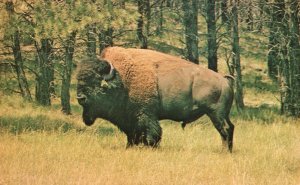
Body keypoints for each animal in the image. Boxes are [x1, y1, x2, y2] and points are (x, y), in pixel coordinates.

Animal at [76, 47, 236, 152]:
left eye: (96, 82)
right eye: (79, 80)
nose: (80, 97)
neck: (123, 79)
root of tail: (224, 80)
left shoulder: (146, 115)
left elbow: (153, 133)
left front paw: (151, 147)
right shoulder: (130, 121)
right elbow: (132, 136)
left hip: (216, 114)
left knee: (225, 130)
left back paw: (224, 151)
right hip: (223, 114)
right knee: (230, 127)